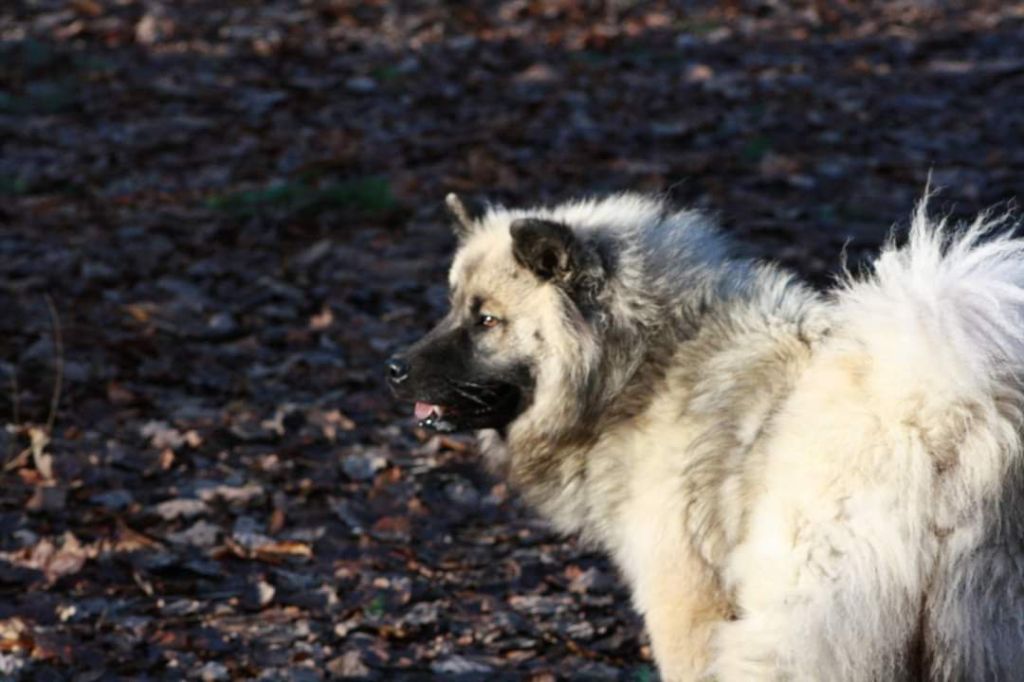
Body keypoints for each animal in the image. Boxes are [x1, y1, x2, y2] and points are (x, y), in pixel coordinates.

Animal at [385, 192, 1024, 679]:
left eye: (487, 320)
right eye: (452, 308)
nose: (393, 368)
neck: (641, 368)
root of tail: (941, 413)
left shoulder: (685, 605)